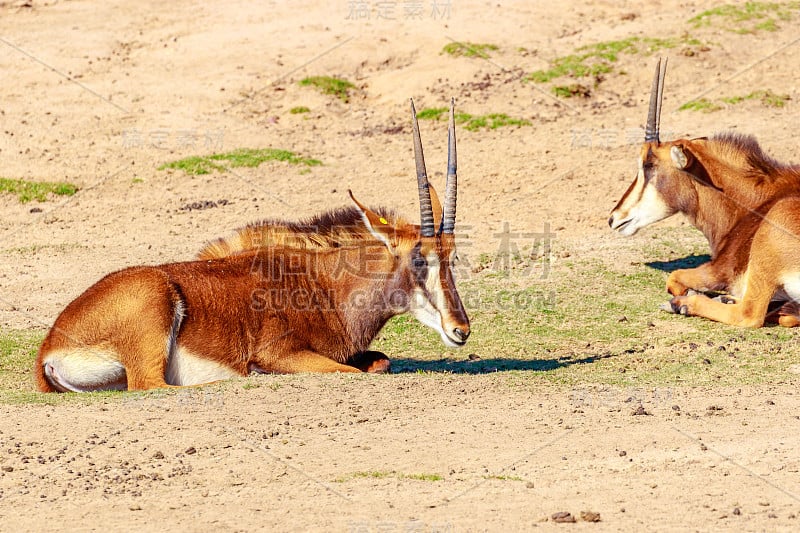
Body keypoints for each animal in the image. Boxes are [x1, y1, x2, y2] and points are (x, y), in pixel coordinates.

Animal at [34, 98, 468, 390]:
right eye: (419, 259)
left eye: (452, 258)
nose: (460, 329)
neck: (325, 286)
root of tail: (50, 347)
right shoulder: (283, 353)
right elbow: (352, 371)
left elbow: (382, 362)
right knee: (154, 385)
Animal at [608, 57, 800, 324]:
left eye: (648, 165)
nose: (614, 218)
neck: (752, 203)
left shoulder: (719, 270)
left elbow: (674, 277)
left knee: (748, 314)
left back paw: (682, 304)